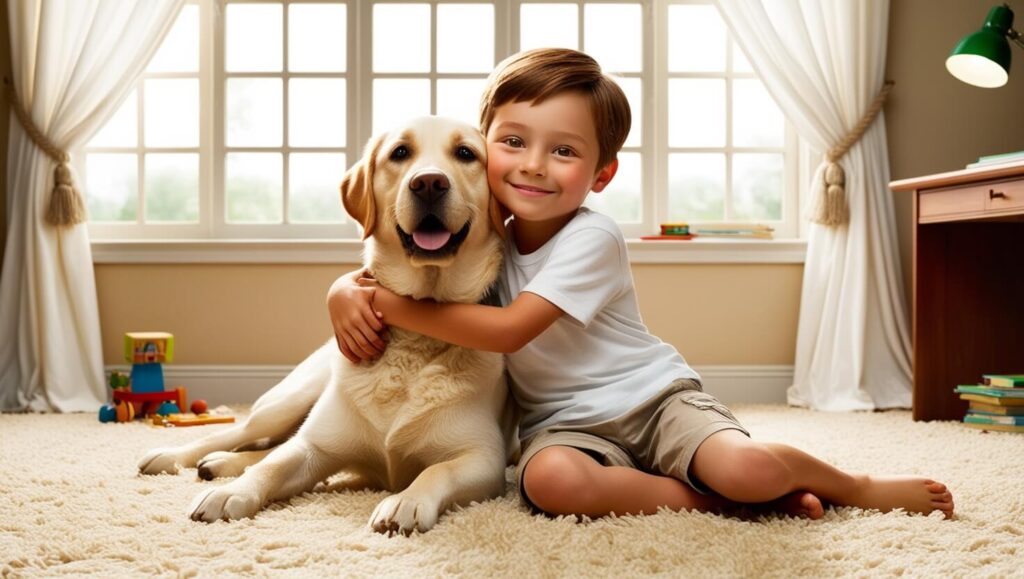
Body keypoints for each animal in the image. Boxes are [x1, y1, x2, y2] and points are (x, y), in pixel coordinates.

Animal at [137, 115, 516, 536]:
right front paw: (230, 493)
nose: (429, 182)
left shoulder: (482, 458)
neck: (416, 333)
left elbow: (436, 472)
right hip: (290, 400)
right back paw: (176, 457)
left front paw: (407, 500)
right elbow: (273, 466)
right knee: (243, 433)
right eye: (400, 152)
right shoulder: (314, 448)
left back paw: (220, 463)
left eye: (465, 153)